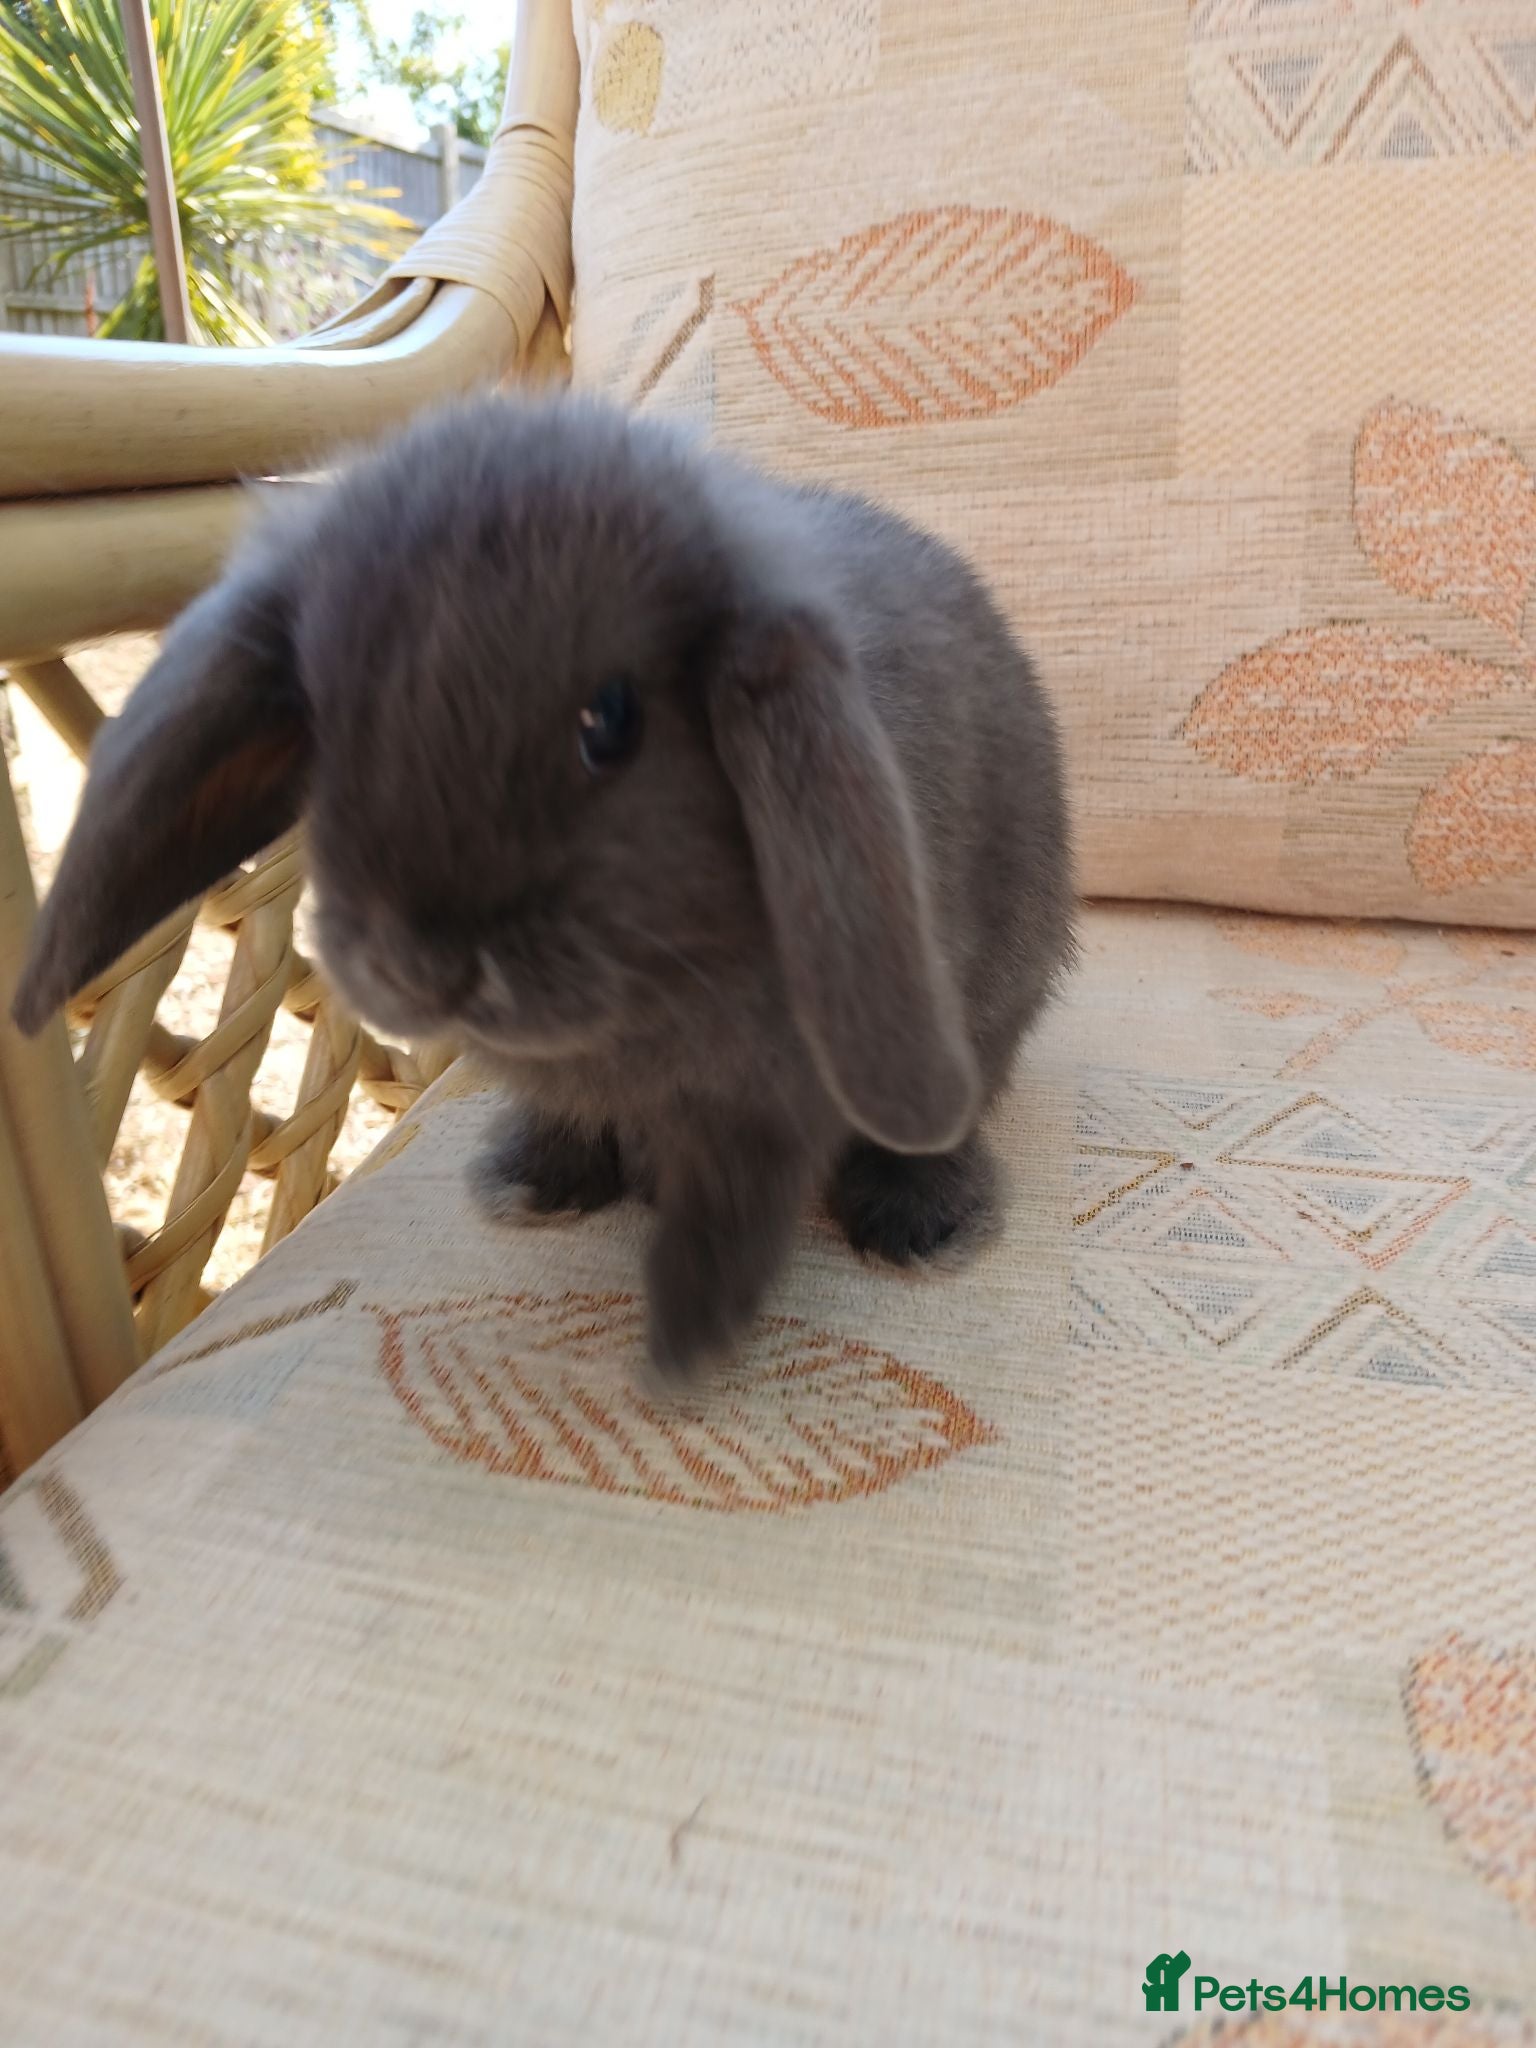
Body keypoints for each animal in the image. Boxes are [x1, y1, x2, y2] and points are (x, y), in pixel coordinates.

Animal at [13, 393, 1075, 1381]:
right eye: (325, 724)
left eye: (610, 720)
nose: (418, 965)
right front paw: (537, 1181)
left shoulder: (771, 1098)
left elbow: (738, 1204)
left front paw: (689, 1335)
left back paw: (918, 1223)